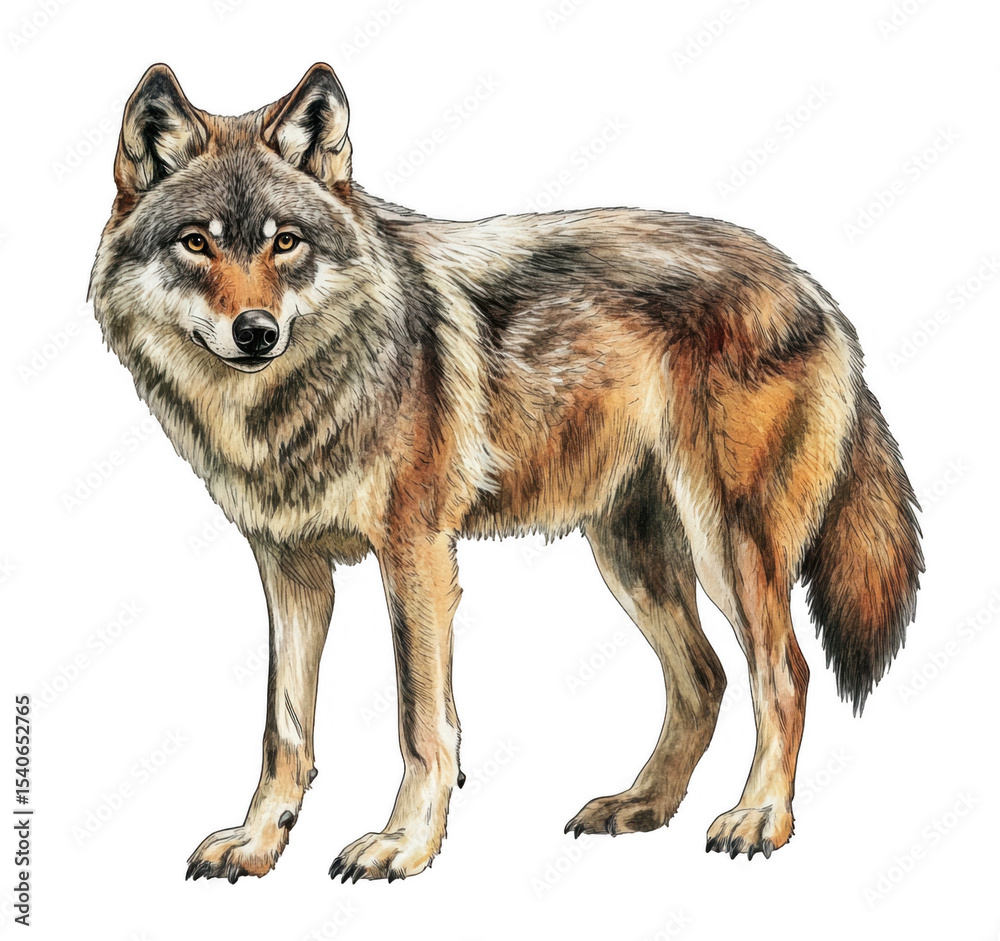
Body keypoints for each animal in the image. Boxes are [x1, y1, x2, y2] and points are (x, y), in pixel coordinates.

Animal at [90, 63, 922, 883]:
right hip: (630, 557)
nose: (256, 332)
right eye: (197, 243)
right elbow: (284, 728)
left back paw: (758, 818)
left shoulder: (416, 552)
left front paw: (405, 842)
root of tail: (812, 287)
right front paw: (260, 840)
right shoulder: (290, 568)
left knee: (783, 674)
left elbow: (422, 721)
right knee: (704, 678)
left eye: (285, 242)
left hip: (728, 548)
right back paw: (640, 805)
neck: (293, 400)